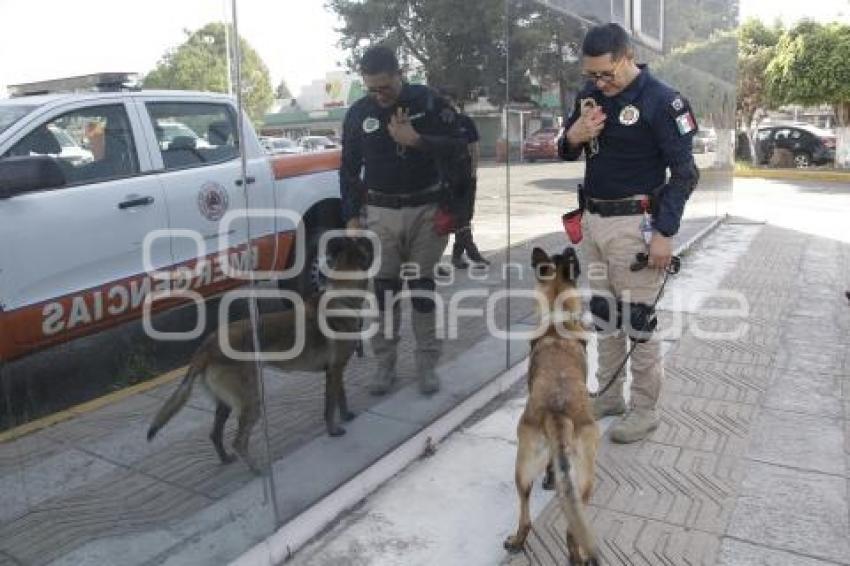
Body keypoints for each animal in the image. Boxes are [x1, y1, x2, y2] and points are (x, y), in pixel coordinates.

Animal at [146, 237, 372, 472]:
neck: (343, 297)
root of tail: (207, 346)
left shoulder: (335, 371)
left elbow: (340, 398)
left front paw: (346, 416)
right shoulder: (335, 370)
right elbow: (330, 406)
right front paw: (334, 430)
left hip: (226, 403)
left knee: (215, 434)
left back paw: (226, 459)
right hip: (251, 400)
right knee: (238, 441)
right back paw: (258, 470)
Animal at [500, 247, 600, 566]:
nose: (569, 247)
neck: (558, 324)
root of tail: (558, 412)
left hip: (526, 470)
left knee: (529, 517)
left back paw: (518, 542)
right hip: (580, 478)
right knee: (568, 527)